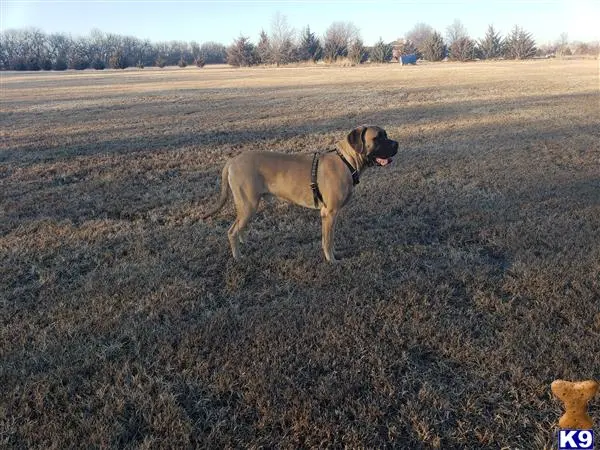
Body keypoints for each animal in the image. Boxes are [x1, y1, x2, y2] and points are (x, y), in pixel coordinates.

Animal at [203, 125, 398, 262]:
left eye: (386, 135)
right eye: (377, 138)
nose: (397, 144)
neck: (346, 161)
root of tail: (232, 161)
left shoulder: (332, 216)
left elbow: (331, 238)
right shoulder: (329, 213)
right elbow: (327, 240)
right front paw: (332, 260)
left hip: (248, 206)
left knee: (240, 227)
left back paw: (245, 243)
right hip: (248, 204)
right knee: (232, 231)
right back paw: (238, 257)